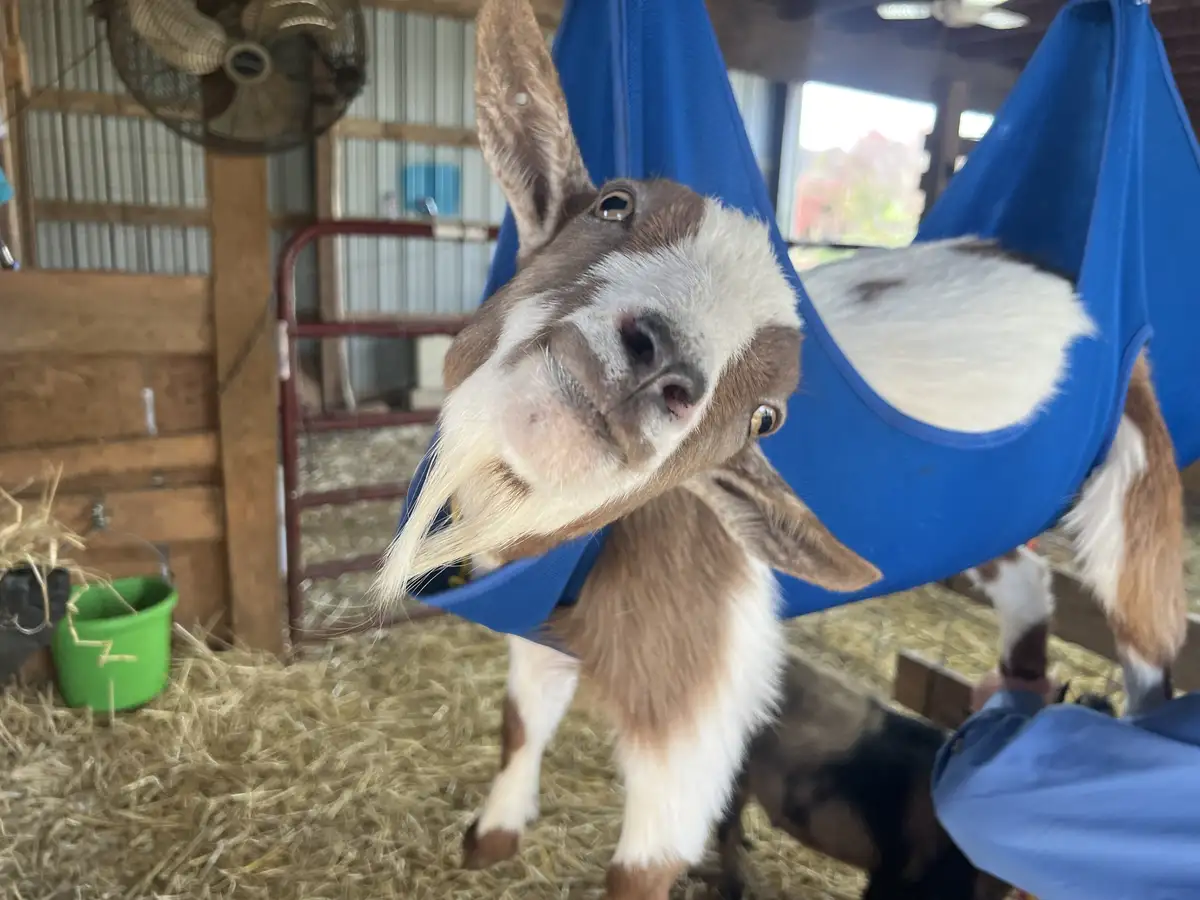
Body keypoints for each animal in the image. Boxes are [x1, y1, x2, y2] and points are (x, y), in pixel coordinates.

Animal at [371, 1, 1185, 895]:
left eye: (767, 417)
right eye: (612, 203)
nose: (662, 364)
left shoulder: (696, 679)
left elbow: (646, 859)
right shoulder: (540, 616)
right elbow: (523, 716)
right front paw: (495, 833)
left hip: (1138, 463)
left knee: (1146, 628)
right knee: (1029, 575)